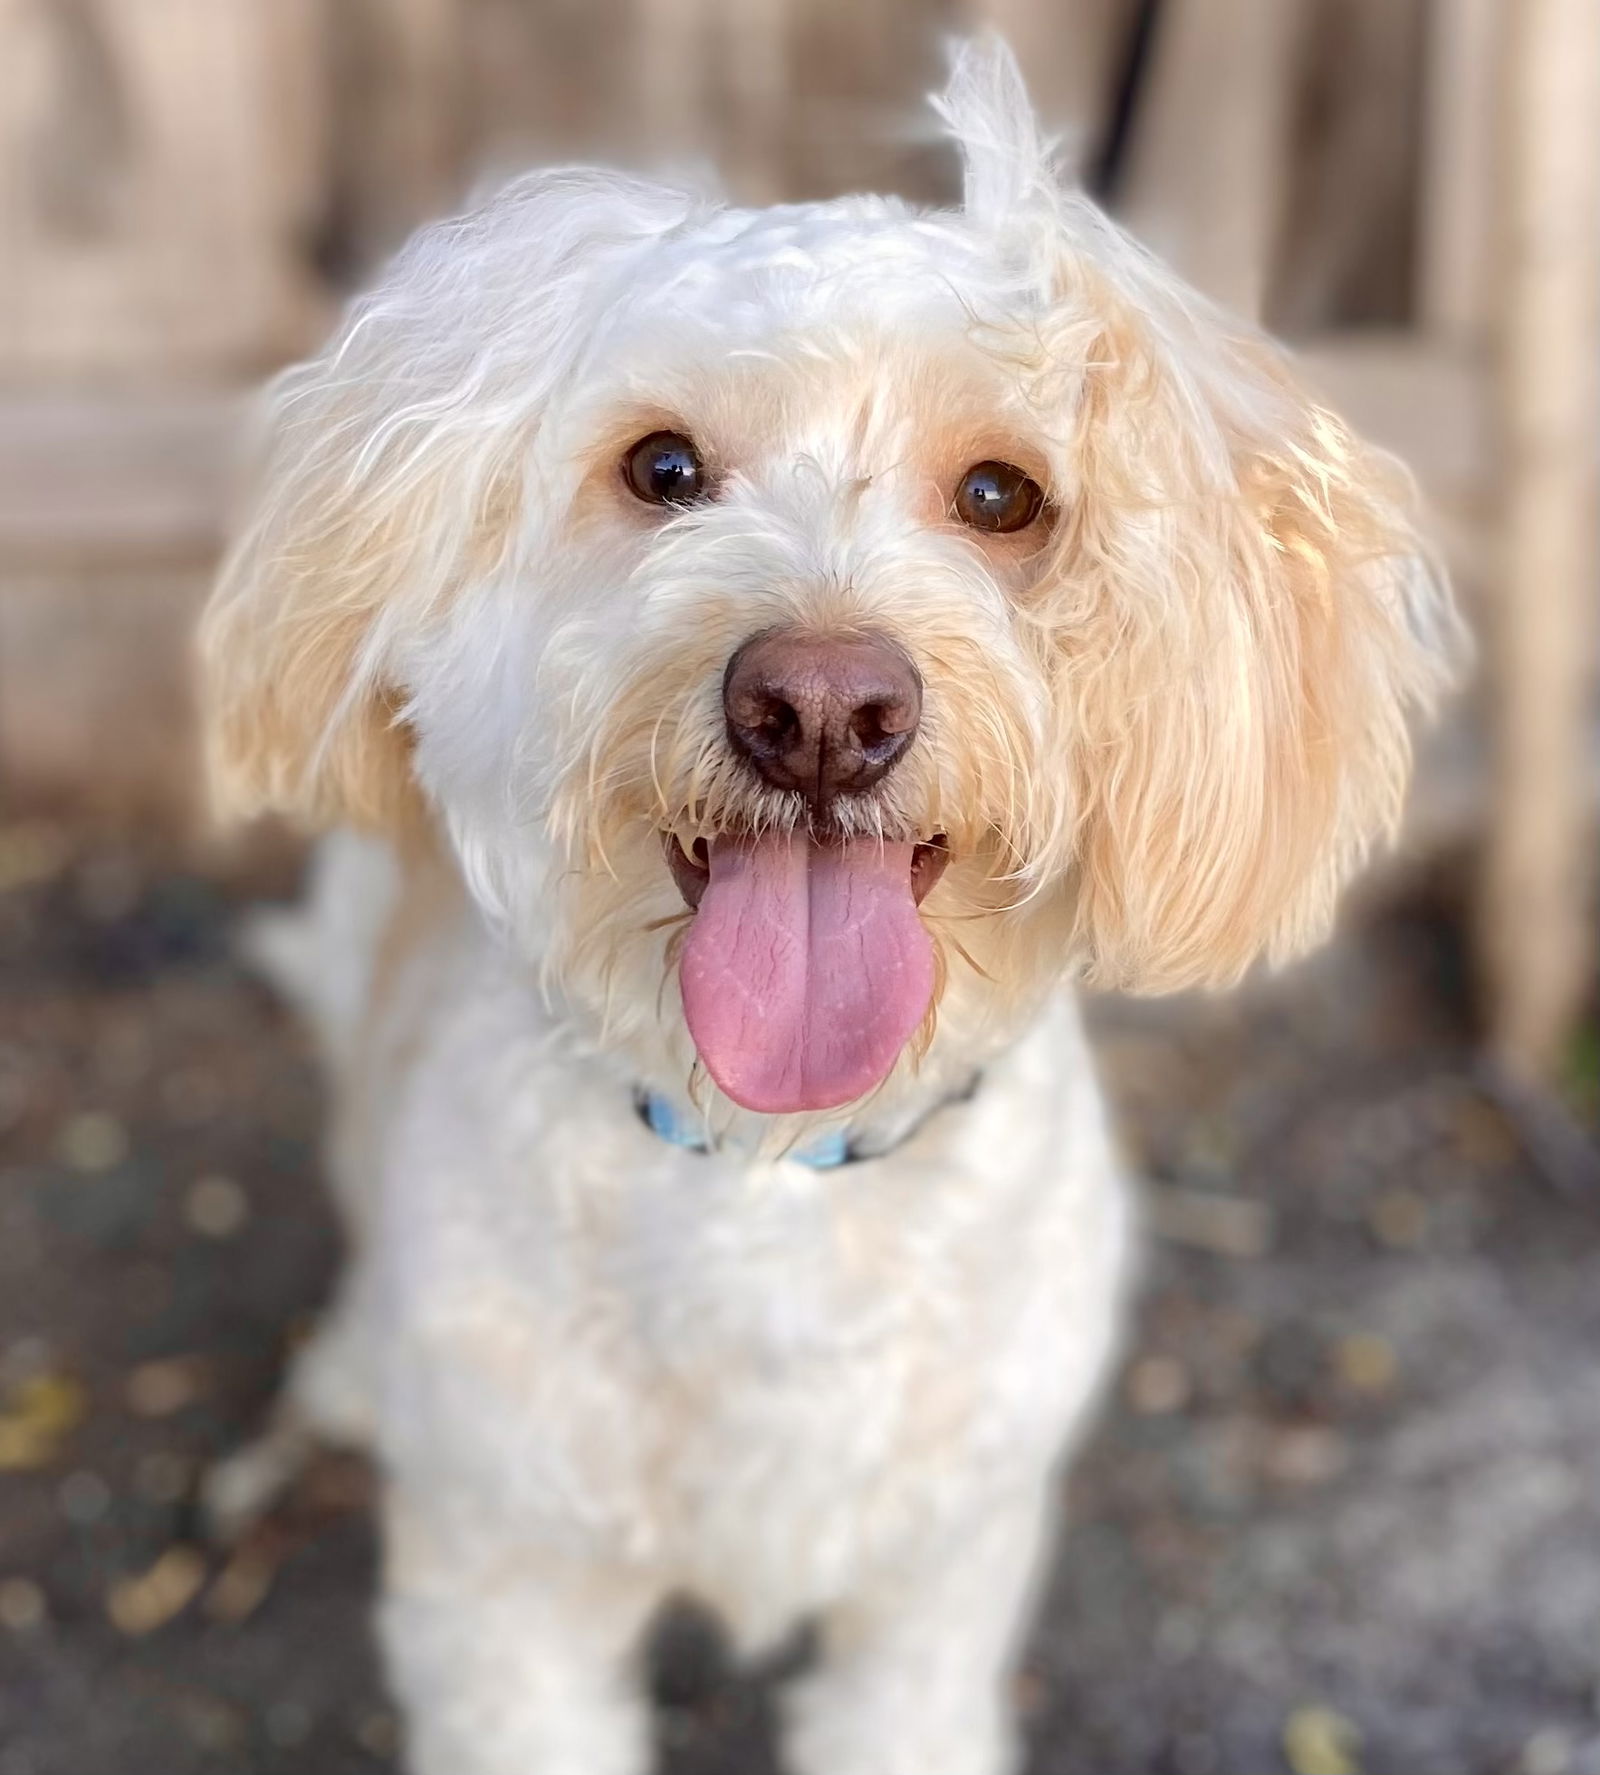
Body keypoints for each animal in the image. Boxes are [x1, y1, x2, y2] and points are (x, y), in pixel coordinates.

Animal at [196, 38, 1449, 1775]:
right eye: (661, 468)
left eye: (1003, 494)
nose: (820, 707)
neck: (773, 1168)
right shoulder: (507, 1588)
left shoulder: (943, 1575)